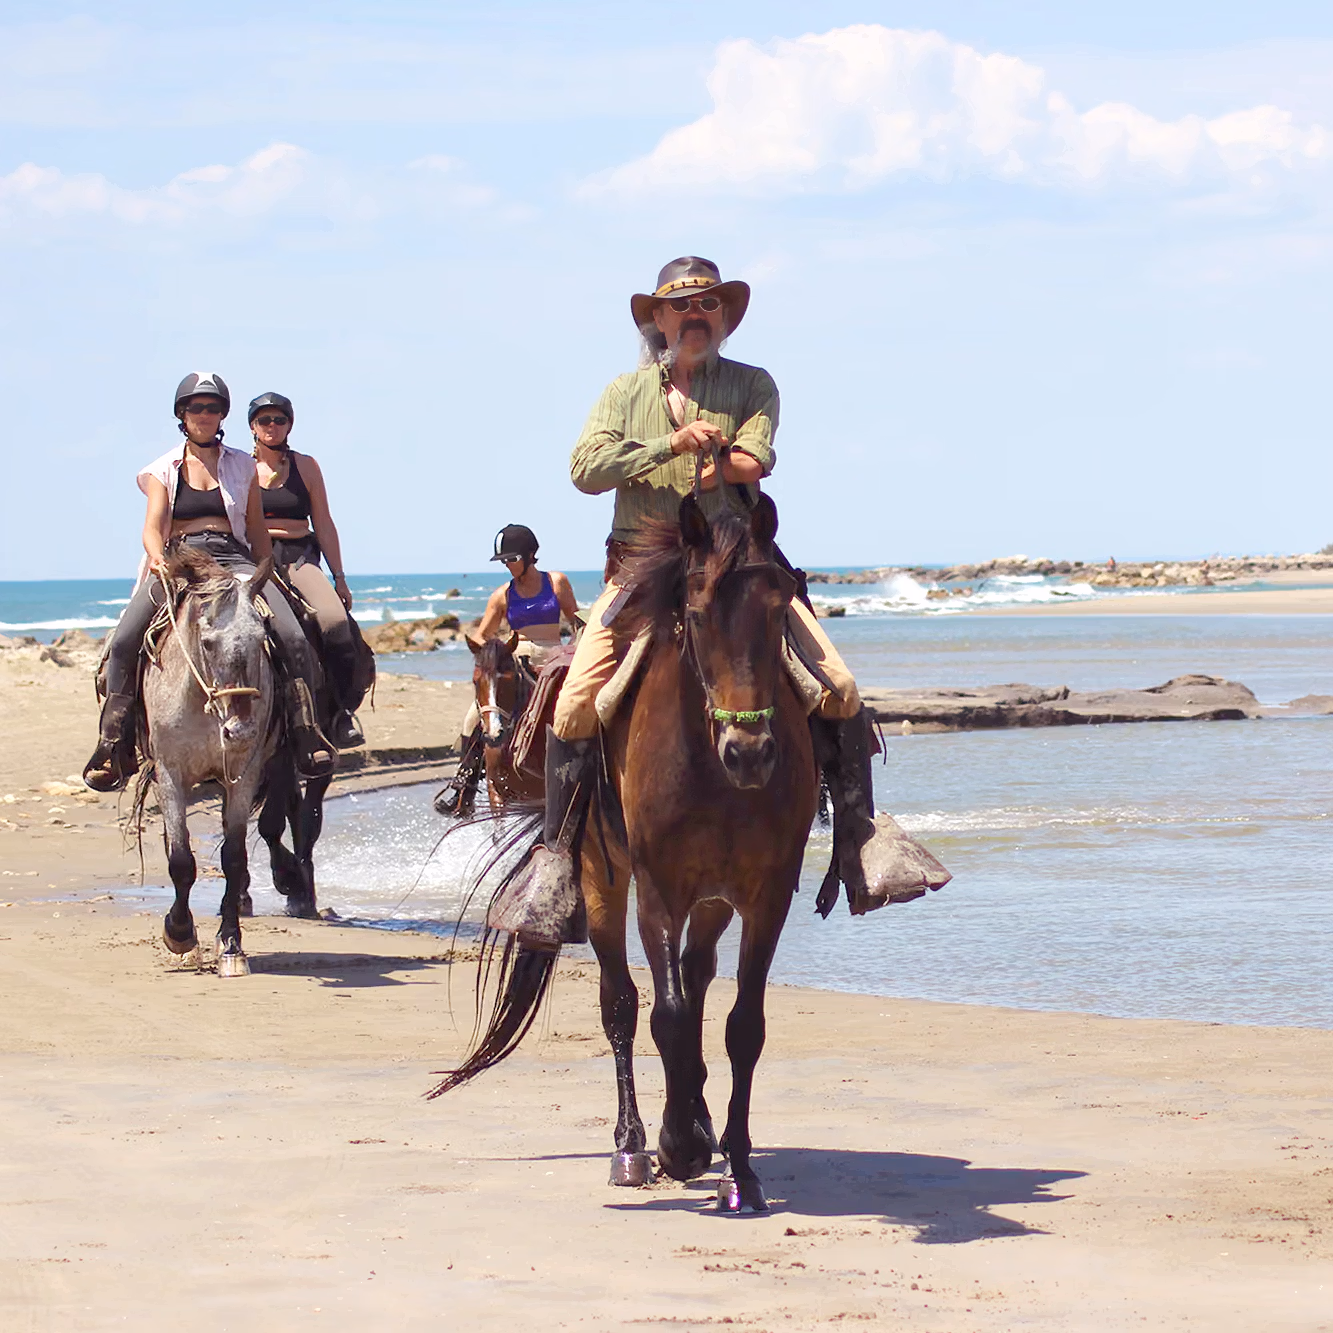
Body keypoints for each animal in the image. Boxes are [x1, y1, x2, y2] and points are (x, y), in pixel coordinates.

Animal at [138, 548, 280, 977]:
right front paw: (179, 934)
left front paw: (231, 943)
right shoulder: (170, 775)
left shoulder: (243, 776)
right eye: (208, 642)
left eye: (262, 637)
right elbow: (181, 859)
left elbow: (233, 858)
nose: (241, 730)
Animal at [432, 491, 818, 1214]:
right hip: (600, 880)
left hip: (713, 897)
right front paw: (678, 1145)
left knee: (695, 978)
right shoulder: (655, 885)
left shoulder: (766, 893)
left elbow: (741, 1025)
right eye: (695, 616)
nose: (749, 753)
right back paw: (634, 1147)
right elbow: (661, 1013)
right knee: (621, 1001)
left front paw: (738, 1166)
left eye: (781, 607)